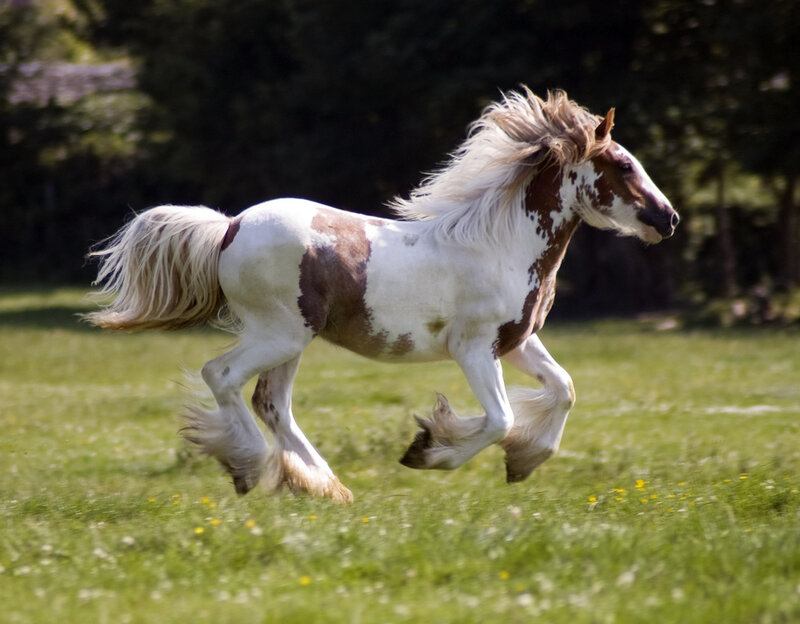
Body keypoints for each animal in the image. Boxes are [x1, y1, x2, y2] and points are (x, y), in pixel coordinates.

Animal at [85, 88, 678, 503]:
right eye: (623, 164)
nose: (668, 219)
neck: (501, 245)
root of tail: (229, 227)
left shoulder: (517, 342)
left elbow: (563, 389)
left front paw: (523, 462)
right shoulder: (474, 349)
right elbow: (501, 419)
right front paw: (427, 451)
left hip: (290, 341)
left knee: (271, 403)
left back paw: (324, 487)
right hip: (278, 334)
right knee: (222, 375)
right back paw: (251, 467)